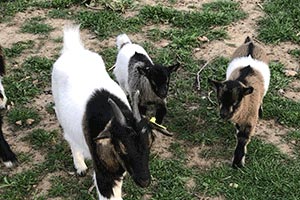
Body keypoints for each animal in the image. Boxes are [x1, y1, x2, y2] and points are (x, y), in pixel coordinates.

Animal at [50, 25, 170, 199]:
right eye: (122, 147)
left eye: (150, 142)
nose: (144, 181)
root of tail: (73, 50)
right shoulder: (104, 173)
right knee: (70, 138)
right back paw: (80, 166)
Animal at [210, 36, 270, 168]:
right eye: (219, 100)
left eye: (236, 102)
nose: (223, 115)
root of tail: (250, 42)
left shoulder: (249, 120)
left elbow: (243, 138)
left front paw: (237, 163)